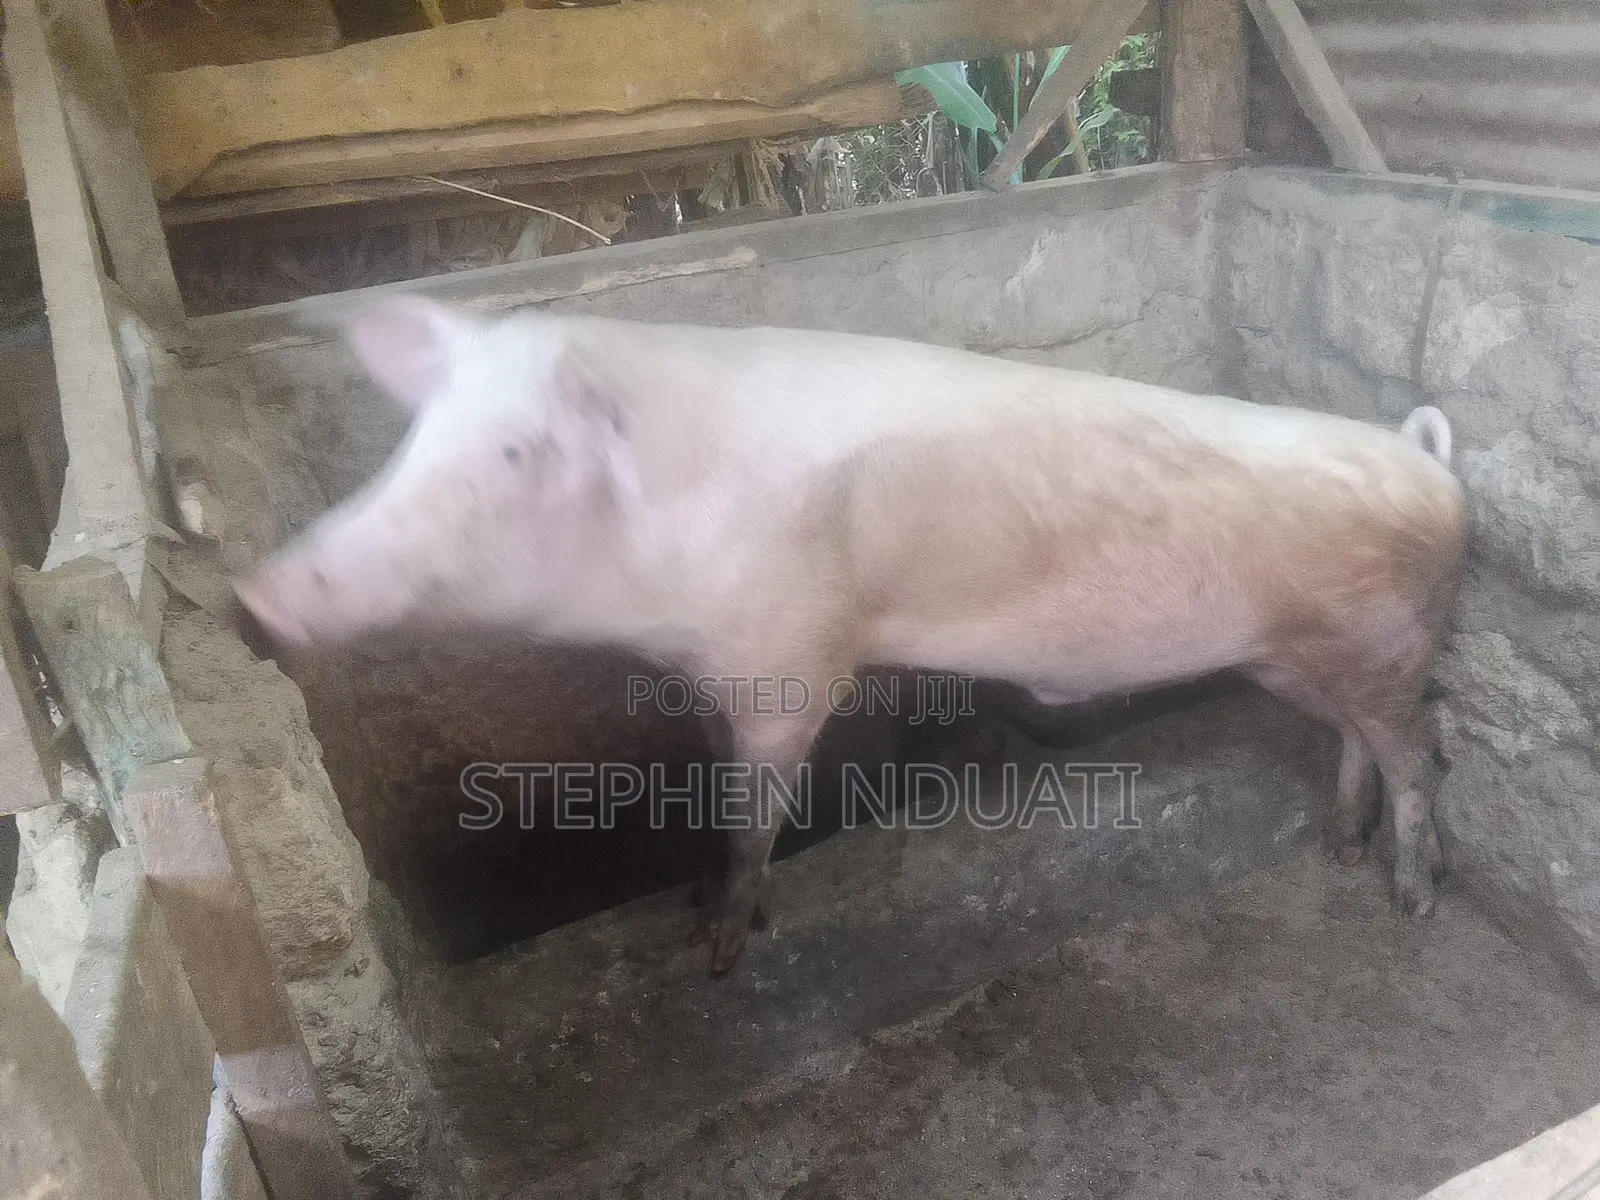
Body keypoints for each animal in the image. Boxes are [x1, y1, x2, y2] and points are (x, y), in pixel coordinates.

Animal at [236, 295, 1468, 976]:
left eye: (514, 453)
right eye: (413, 440)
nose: (253, 597)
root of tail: (1427, 462)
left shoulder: (789, 654)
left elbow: (755, 808)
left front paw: (717, 947)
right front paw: (693, 900)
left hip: (1385, 643)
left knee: (1420, 755)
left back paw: (1410, 902)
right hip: (1287, 658)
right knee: (1357, 741)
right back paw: (1339, 847)